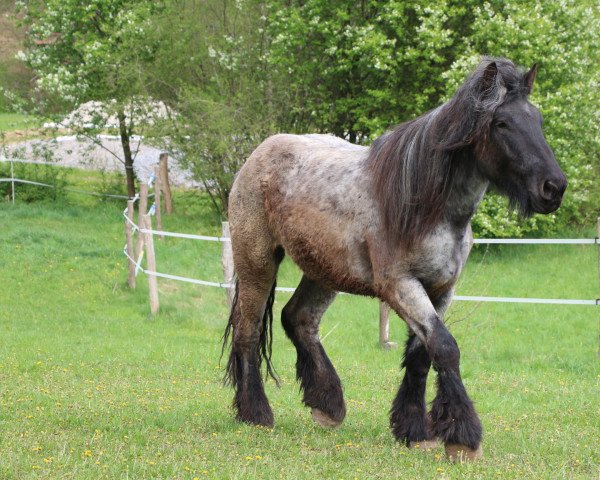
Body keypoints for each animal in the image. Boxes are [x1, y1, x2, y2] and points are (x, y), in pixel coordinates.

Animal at [221, 56, 568, 462]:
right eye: (501, 123)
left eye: (538, 120)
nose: (553, 187)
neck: (425, 204)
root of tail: (258, 154)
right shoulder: (400, 285)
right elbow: (445, 347)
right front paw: (462, 437)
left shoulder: (441, 290)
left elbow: (422, 354)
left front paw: (415, 430)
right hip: (257, 262)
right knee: (248, 330)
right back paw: (256, 414)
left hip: (324, 271)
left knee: (298, 319)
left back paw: (328, 405)